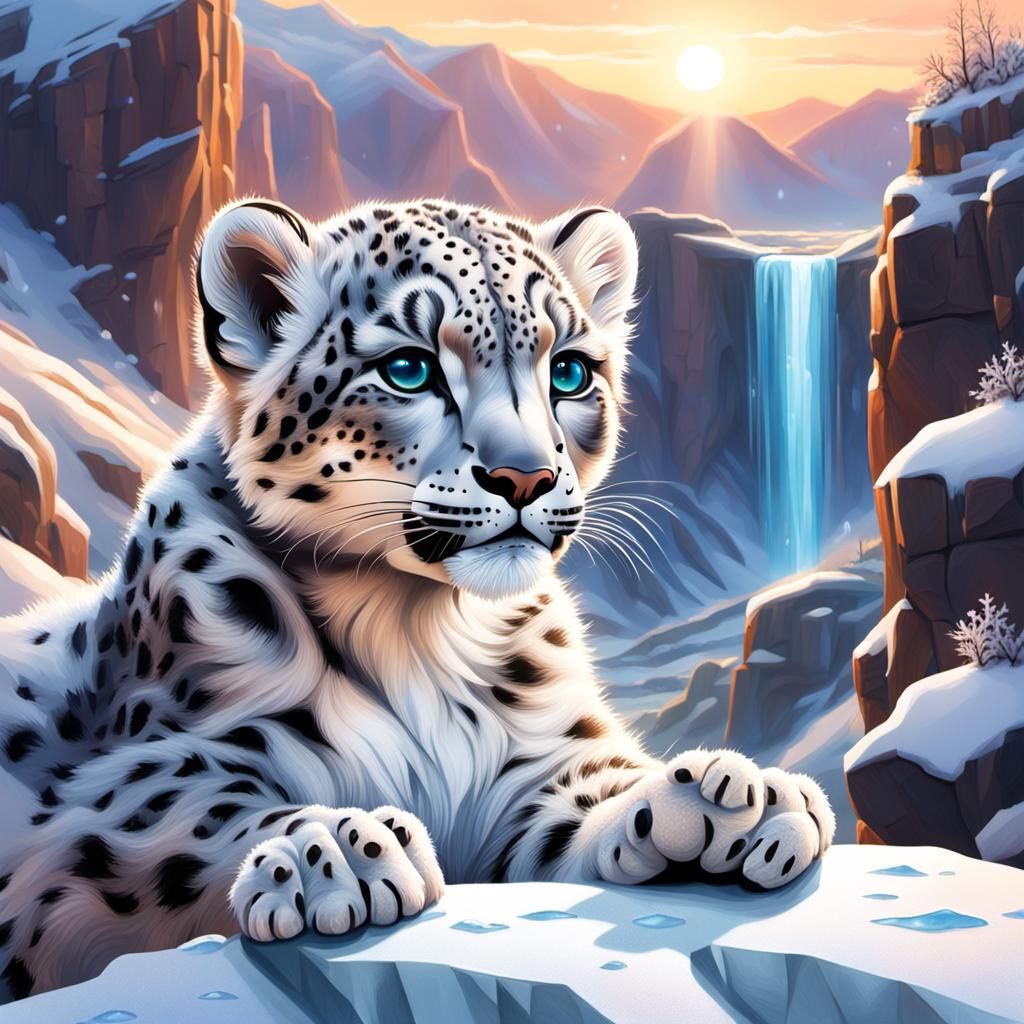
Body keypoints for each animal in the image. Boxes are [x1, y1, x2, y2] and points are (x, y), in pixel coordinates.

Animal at [0, 198, 835, 998]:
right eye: (408, 368)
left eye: (568, 372)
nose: (526, 477)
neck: (417, 627)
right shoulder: (140, 773)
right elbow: (187, 808)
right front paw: (335, 853)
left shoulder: (535, 764)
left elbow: (591, 793)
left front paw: (732, 797)